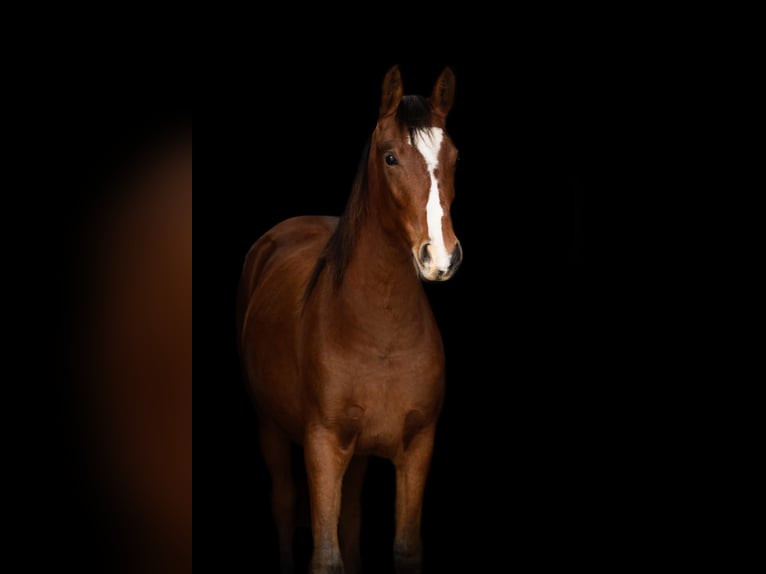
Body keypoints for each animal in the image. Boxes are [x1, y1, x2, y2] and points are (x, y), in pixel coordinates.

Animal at [237, 65, 462, 574]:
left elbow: (403, 547)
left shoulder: (418, 446)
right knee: (284, 506)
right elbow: (326, 555)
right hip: (270, 428)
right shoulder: (322, 446)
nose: (440, 256)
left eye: (454, 156)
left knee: (352, 516)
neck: (379, 336)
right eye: (391, 157)